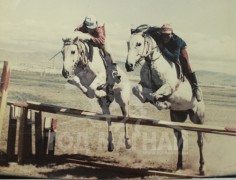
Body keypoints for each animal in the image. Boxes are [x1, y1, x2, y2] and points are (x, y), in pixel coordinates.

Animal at [125, 28, 205, 176]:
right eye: (128, 43)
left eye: (139, 44)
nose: (129, 65)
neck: (152, 63)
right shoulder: (144, 84)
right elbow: (138, 89)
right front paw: (150, 99)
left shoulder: (169, 87)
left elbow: (155, 94)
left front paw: (162, 103)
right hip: (177, 117)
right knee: (180, 141)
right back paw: (179, 166)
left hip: (198, 118)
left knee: (200, 140)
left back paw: (202, 168)